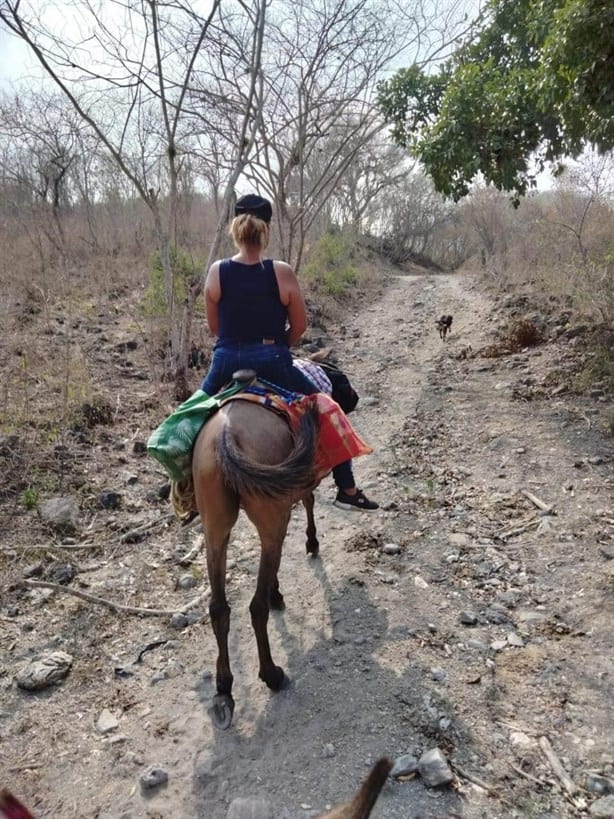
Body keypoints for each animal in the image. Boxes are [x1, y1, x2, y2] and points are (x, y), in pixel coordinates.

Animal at [194, 390, 322, 732]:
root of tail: (225, 435)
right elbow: (309, 499)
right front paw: (311, 542)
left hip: (215, 527)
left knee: (219, 608)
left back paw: (224, 688)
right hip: (271, 515)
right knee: (256, 607)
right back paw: (273, 675)